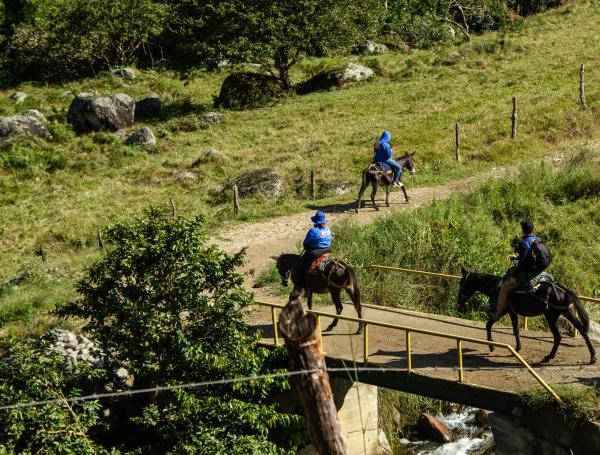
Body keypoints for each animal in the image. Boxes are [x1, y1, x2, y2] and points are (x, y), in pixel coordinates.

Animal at [460, 268, 596, 366]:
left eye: (462, 282)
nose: (459, 301)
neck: (495, 286)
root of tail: (564, 290)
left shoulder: (503, 311)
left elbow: (489, 325)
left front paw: (491, 346)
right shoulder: (512, 312)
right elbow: (516, 330)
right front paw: (517, 348)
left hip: (551, 317)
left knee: (558, 336)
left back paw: (548, 357)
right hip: (569, 313)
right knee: (583, 331)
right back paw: (592, 357)